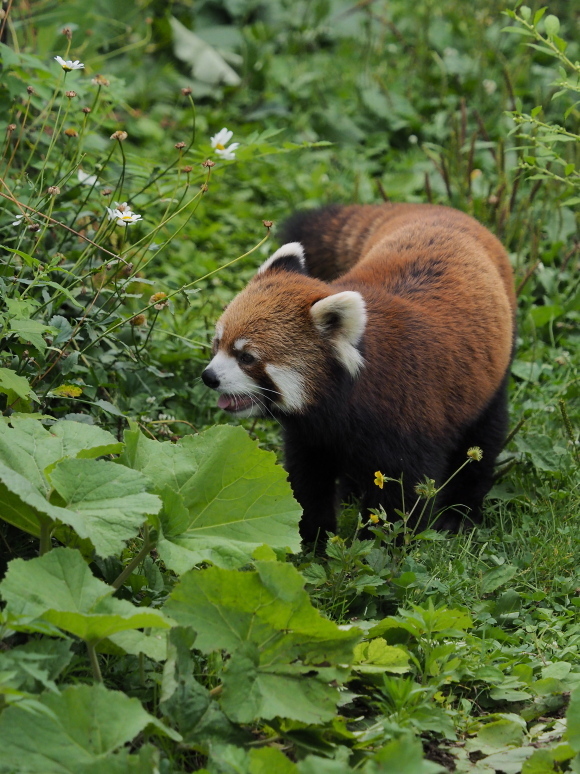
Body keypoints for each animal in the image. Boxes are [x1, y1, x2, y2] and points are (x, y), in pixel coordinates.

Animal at [202, 206, 516, 544]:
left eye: (247, 358)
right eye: (217, 343)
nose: (209, 377)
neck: (340, 401)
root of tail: (445, 214)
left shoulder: (409, 414)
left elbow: (401, 493)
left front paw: (381, 544)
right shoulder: (312, 434)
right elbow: (308, 480)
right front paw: (313, 538)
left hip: (492, 372)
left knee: (483, 438)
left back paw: (460, 513)